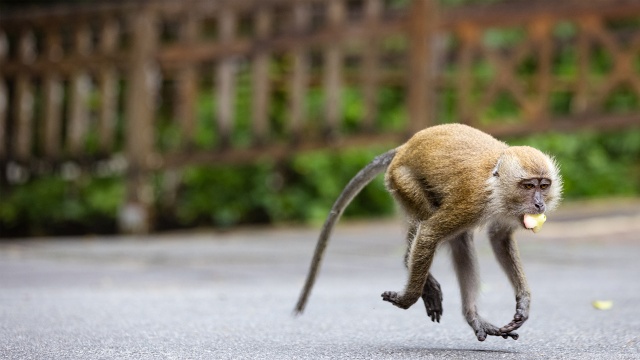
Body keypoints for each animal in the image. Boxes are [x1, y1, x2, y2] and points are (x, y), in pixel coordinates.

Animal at [292, 123, 564, 340]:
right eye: (528, 186)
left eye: (543, 185)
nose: (539, 204)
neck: (495, 183)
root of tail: (404, 147)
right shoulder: (471, 202)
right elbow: (431, 233)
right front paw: (407, 299)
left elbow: (499, 238)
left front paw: (524, 301)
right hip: (402, 180)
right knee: (437, 228)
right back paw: (411, 267)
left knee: (459, 240)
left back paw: (472, 316)